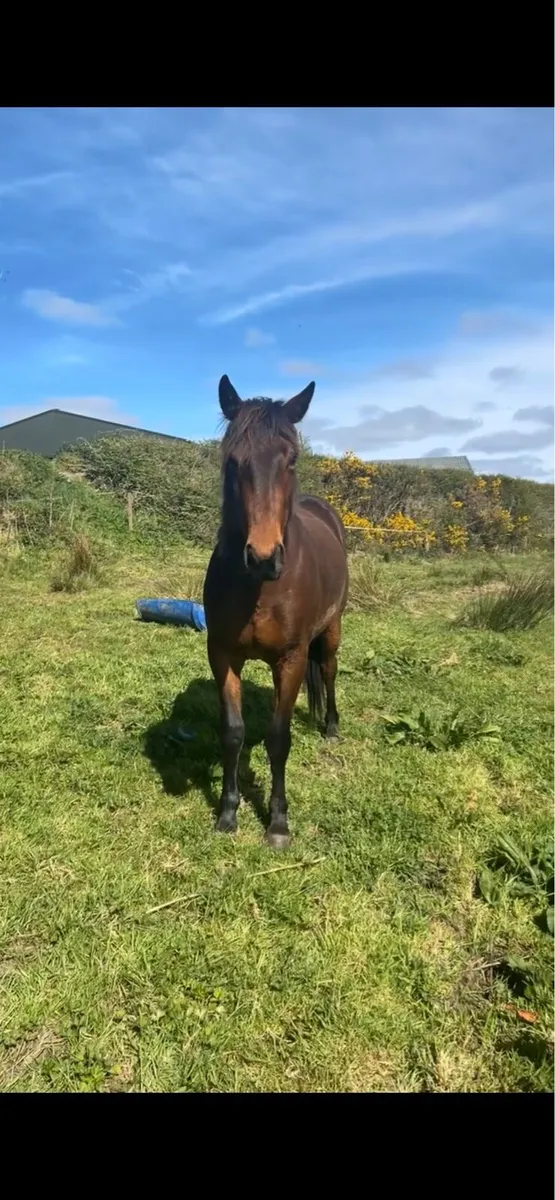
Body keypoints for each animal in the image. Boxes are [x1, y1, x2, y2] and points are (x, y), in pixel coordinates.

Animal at [203, 375, 349, 849]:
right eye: (233, 460)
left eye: (292, 460)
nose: (264, 557)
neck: (260, 589)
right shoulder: (222, 655)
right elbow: (233, 733)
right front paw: (228, 813)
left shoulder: (291, 659)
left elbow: (278, 738)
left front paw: (278, 822)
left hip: (333, 628)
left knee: (330, 670)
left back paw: (332, 727)